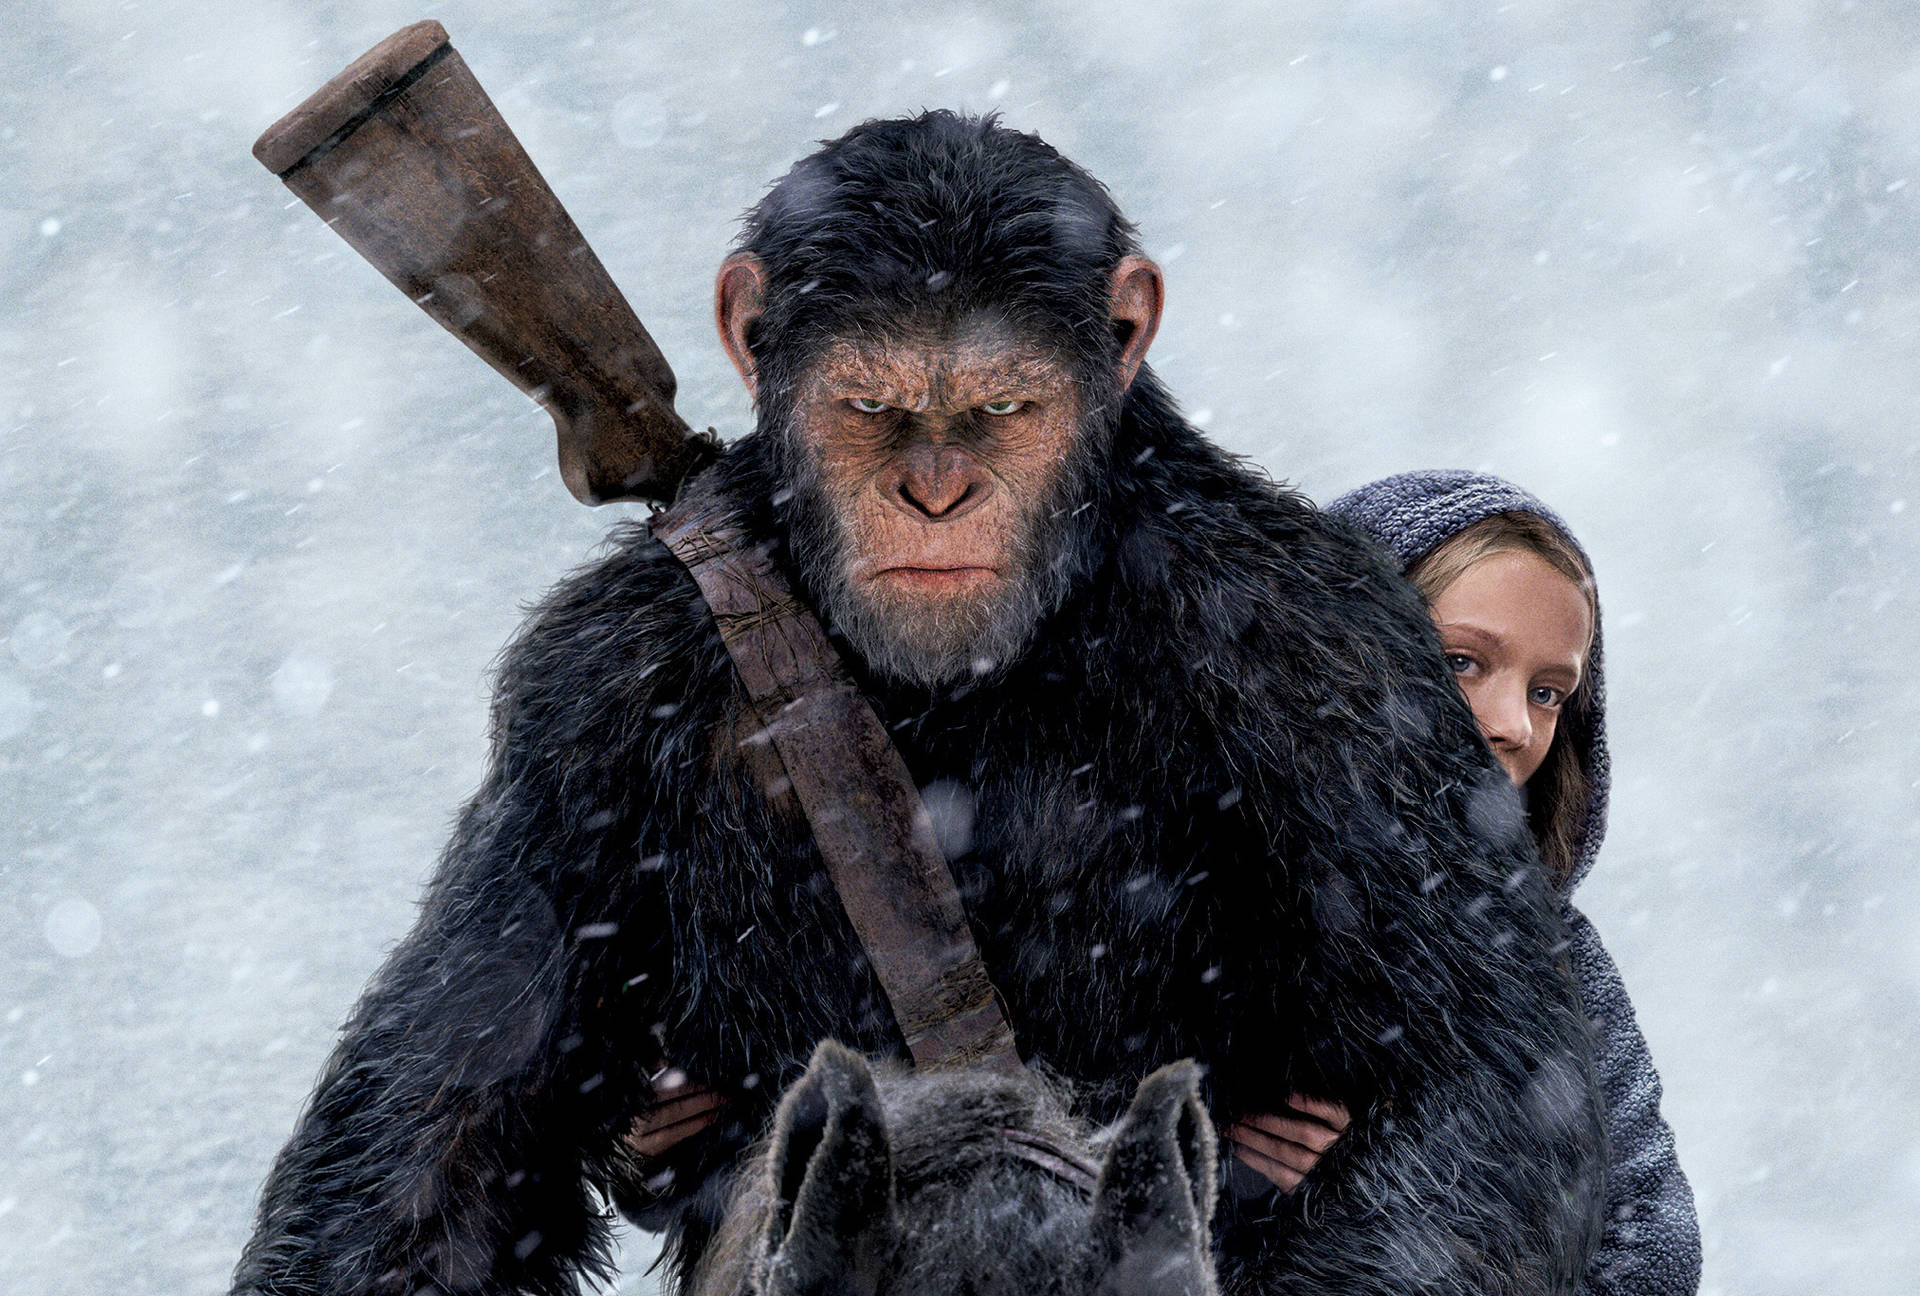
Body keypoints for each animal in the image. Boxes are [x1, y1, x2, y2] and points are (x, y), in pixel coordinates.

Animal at [230, 111, 1604, 1296]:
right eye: (869, 406)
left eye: (1003, 406)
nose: (936, 495)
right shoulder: (581, 702)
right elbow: (443, 1138)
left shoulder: (1329, 655)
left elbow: (1472, 1077)